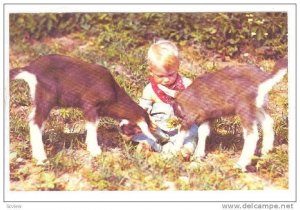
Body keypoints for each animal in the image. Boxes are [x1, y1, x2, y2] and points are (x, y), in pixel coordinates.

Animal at [9, 54, 162, 164]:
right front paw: (95, 150)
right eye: (135, 129)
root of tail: (30, 69)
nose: (125, 139)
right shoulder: (90, 106)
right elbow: (93, 126)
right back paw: (40, 157)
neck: (114, 94)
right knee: (35, 122)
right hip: (46, 97)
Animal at [159, 57, 288, 171]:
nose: (177, 115)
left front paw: (172, 153)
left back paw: (240, 164)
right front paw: (198, 155)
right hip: (257, 107)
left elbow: (182, 132)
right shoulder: (207, 116)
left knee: (251, 134)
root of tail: (264, 78)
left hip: (245, 107)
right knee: (268, 123)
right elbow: (202, 132)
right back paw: (266, 151)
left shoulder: (190, 115)